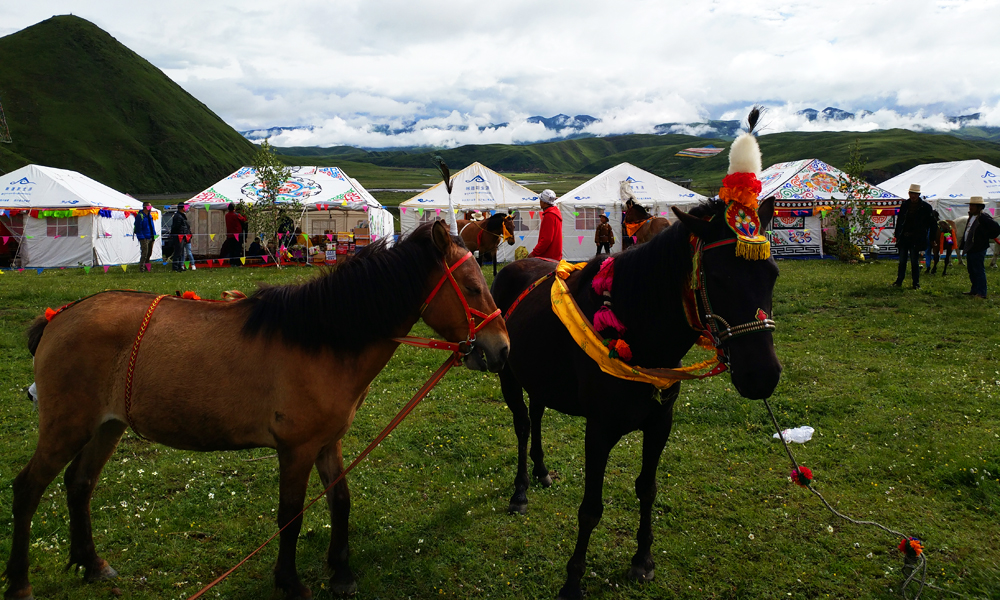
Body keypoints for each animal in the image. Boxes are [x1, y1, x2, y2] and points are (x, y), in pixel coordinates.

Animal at [3, 220, 508, 600]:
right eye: (470, 287)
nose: (501, 349)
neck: (323, 340)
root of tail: (59, 317)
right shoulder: (296, 448)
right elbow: (291, 514)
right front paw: (290, 581)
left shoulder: (327, 442)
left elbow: (340, 500)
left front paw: (341, 571)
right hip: (66, 427)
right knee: (27, 489)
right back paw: (20, 583)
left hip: (105, 427)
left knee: (79, 484)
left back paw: (91, 563)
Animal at [490, 198, 780, 600]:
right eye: (719, 277)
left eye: (773, 274)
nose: (763, 375)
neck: (638, 330)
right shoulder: (598, 432)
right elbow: (590, 508)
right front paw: (573, 580)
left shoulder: (660, 424)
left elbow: (647, 489)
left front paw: (642, 560)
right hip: (508, 375)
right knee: (521, 424)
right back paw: (520, 491)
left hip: (538, 377)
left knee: (536, 415)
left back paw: (542, 470)